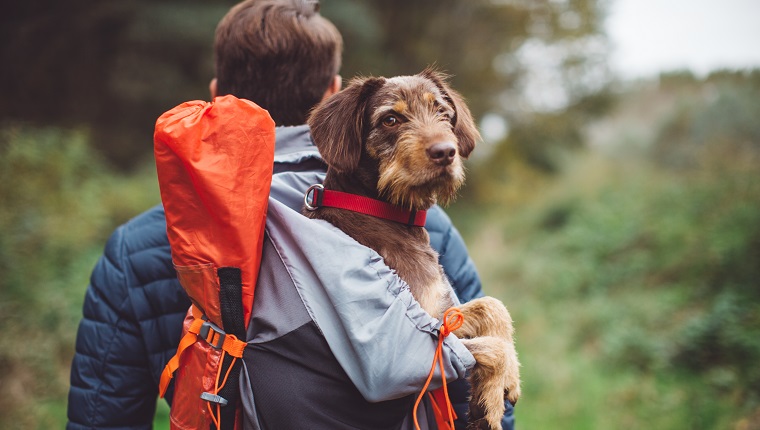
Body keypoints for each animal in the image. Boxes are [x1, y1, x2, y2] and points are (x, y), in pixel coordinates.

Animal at [306, 69, 520, 428]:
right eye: (391, 119)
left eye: (442, 112)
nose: (445, 152)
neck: (384, 212)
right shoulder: (425, 335)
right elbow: (491, 347)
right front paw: (489, 399)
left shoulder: (442, 312)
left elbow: (493, 306)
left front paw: (512, 377)